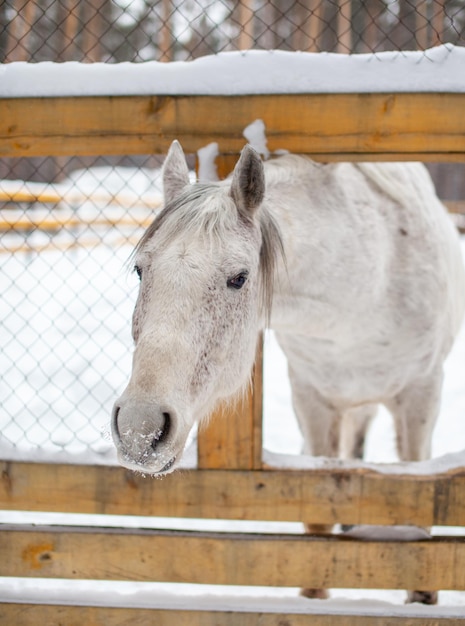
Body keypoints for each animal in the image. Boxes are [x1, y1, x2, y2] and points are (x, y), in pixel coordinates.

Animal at [111, 141, 464, 600]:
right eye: (141, 269)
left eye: (239, 278)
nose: (140, 428)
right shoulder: (312, 399)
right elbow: (316, 520)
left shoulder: (422, 396)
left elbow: (420, 512)